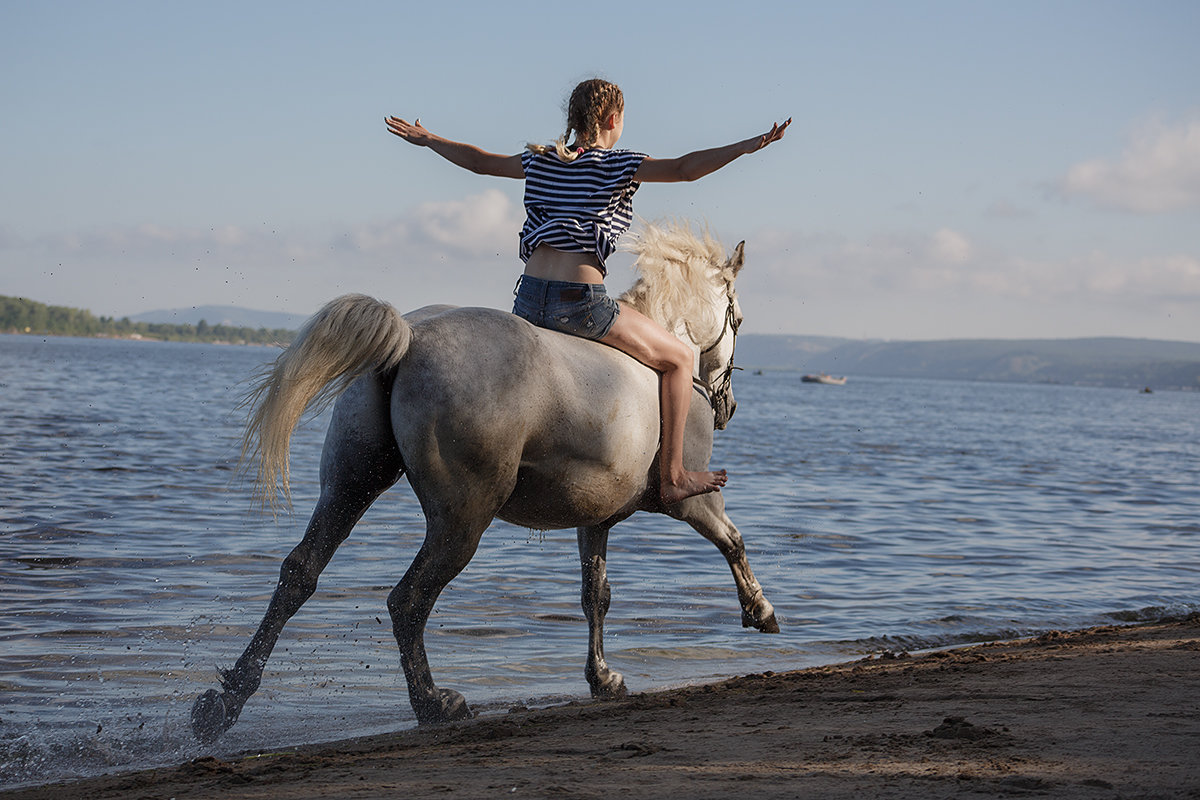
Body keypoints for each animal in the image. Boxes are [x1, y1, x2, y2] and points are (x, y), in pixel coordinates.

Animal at [189, 220, 777, 743]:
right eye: (738, 319)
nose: (726, 407)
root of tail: (410, 336)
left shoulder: (595, 520)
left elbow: (595, 595)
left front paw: (603, 679)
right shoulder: (691, 503)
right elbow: (732, 540)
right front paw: (760, 610)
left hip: (350, 487)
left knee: (299, 573)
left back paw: (224, 704)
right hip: (461, 523)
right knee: (407, 601)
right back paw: (434, 704)